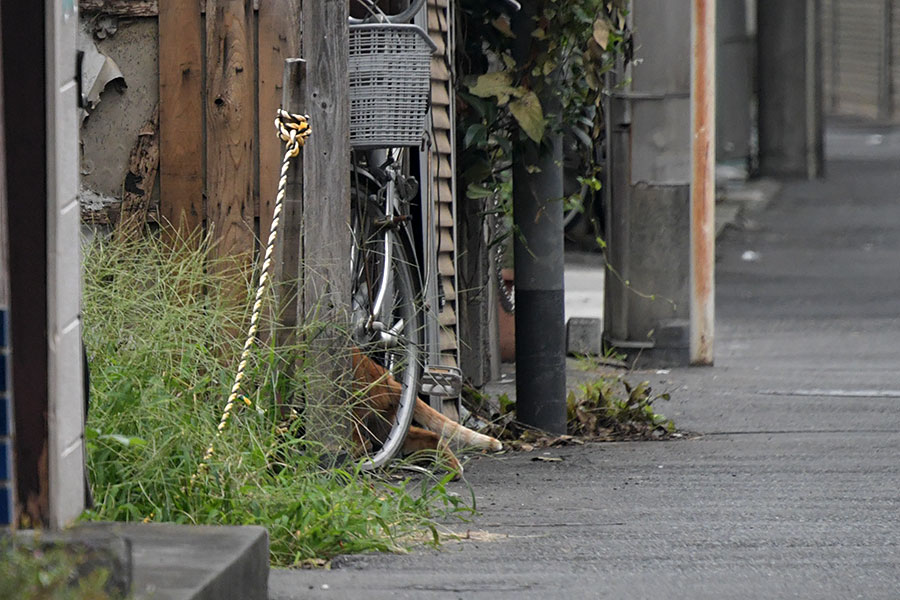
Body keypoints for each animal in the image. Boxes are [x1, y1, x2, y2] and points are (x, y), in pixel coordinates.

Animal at [352, 350, 502, 476]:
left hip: (360, 415)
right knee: (432, 436)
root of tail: (386, 378)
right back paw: (455, 470)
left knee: (363, 443)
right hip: (380, 426)